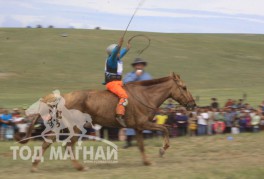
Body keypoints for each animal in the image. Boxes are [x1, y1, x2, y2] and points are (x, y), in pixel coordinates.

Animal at [15, 72, 195, 171]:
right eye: (184, 87)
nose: (193, 104)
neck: (145, 96)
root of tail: (63, 97)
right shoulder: (144, 124)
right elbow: (165, 128)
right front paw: (162, 150)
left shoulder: (137, 128)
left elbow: (141, 145)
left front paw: (147, 161)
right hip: (76, 127)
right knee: (68, 145)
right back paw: (80, 167)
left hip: (62, 126)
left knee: (48, 142)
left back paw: (34, 166)